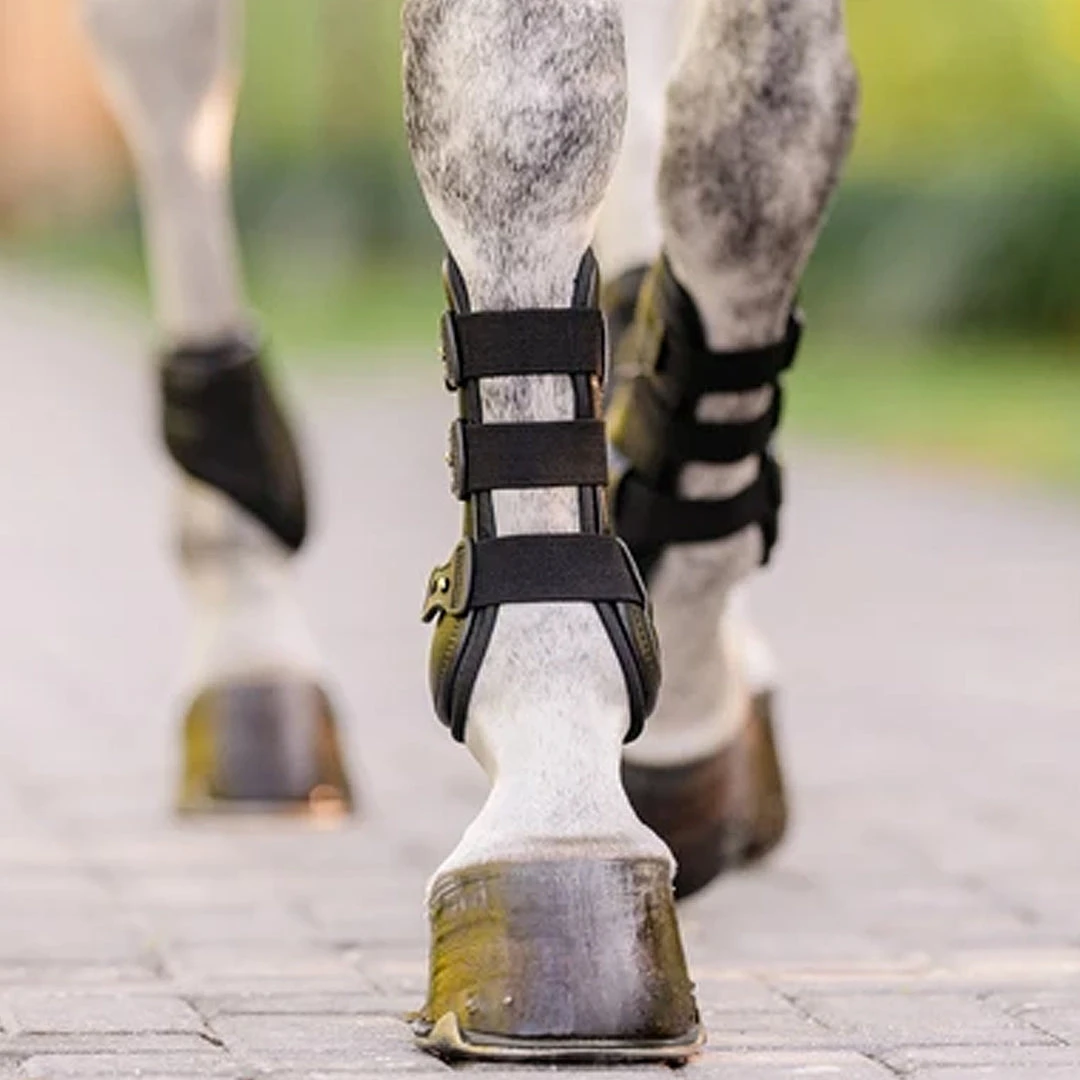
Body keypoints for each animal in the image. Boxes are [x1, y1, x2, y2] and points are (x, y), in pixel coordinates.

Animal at [80, 0, 857, 1063]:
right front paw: (558, 799)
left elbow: (764, 140)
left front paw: (686, 706)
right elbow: (521, 115)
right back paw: (250, 647)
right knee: (170, 68)